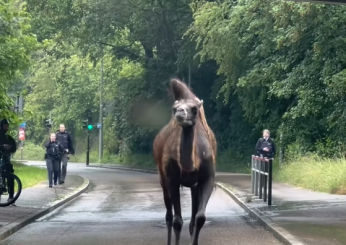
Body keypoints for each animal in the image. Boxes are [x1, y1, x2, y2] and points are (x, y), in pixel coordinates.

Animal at [153, 78, 216, 245]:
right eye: (174, 108)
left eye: (194, 109)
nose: (180, 113)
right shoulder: (172, 180)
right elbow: (177, 221)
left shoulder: (208, 178)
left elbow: (200, 218)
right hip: (162, 178)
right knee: (169, 216)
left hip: (194, 186)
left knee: (192, 218)